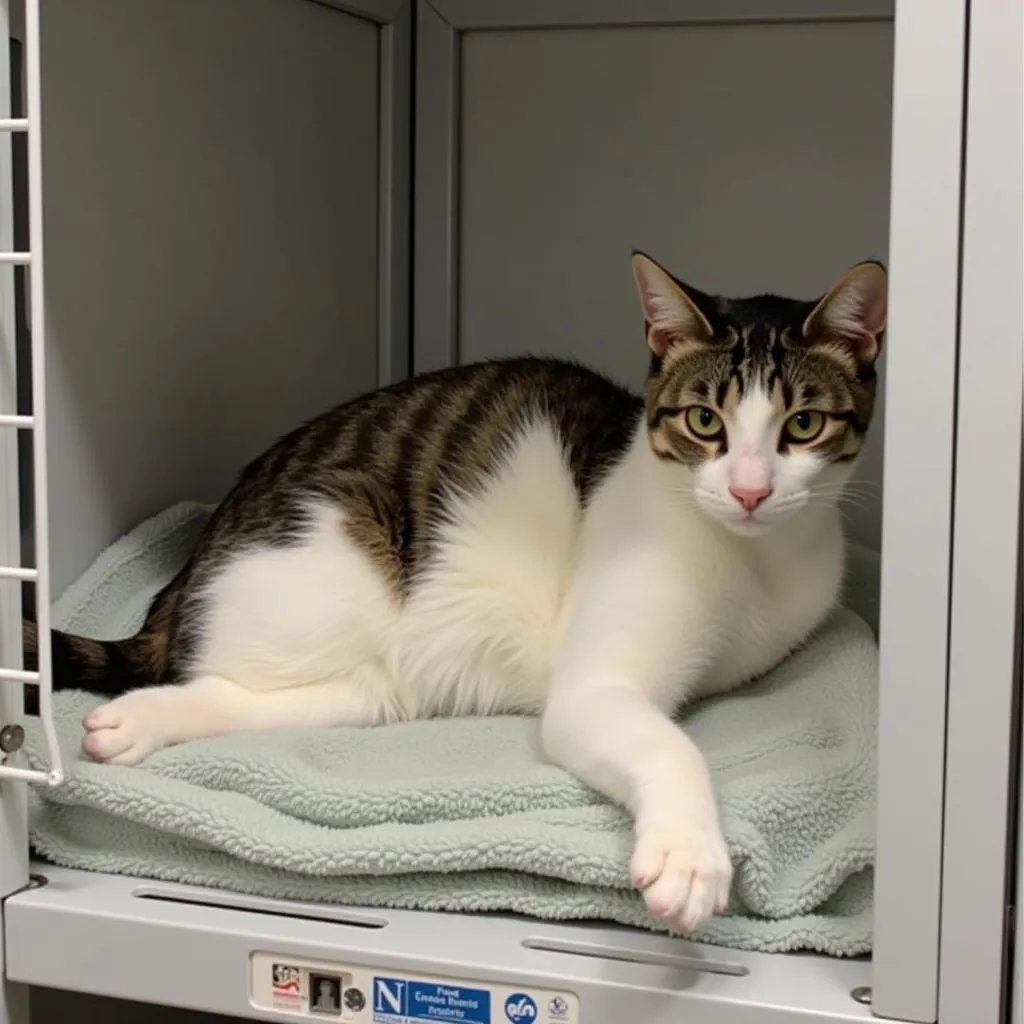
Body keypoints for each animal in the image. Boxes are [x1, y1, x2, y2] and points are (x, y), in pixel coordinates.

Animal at [25, 249, 888, 937]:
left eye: (802, 426)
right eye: (706, 422)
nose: (749, 491)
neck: (753, 564)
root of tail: (195, 560)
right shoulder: (593, 690)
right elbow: (670, 746)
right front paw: (689, 855)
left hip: (378, 686)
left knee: (254, 694)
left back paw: (141, 723)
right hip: (341, 558)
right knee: (213, 668)